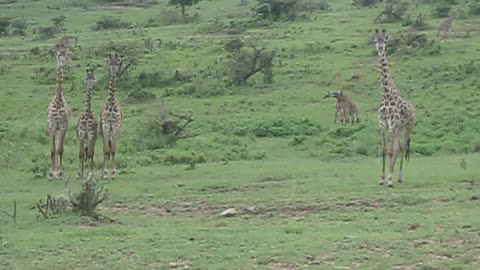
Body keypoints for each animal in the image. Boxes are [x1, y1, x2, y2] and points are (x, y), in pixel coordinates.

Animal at [372, 28, 416, 187]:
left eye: (384, 40)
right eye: (375, 40)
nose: (380, 48)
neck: (386, 96)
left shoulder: (392, 125)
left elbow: (391, 150)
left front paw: (389, 179)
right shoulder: (383, 126)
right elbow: (384, 150)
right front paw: (382, 178)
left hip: (407, 127)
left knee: (402, 148)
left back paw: (399, 177)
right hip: (399, 128)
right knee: (399, 148)